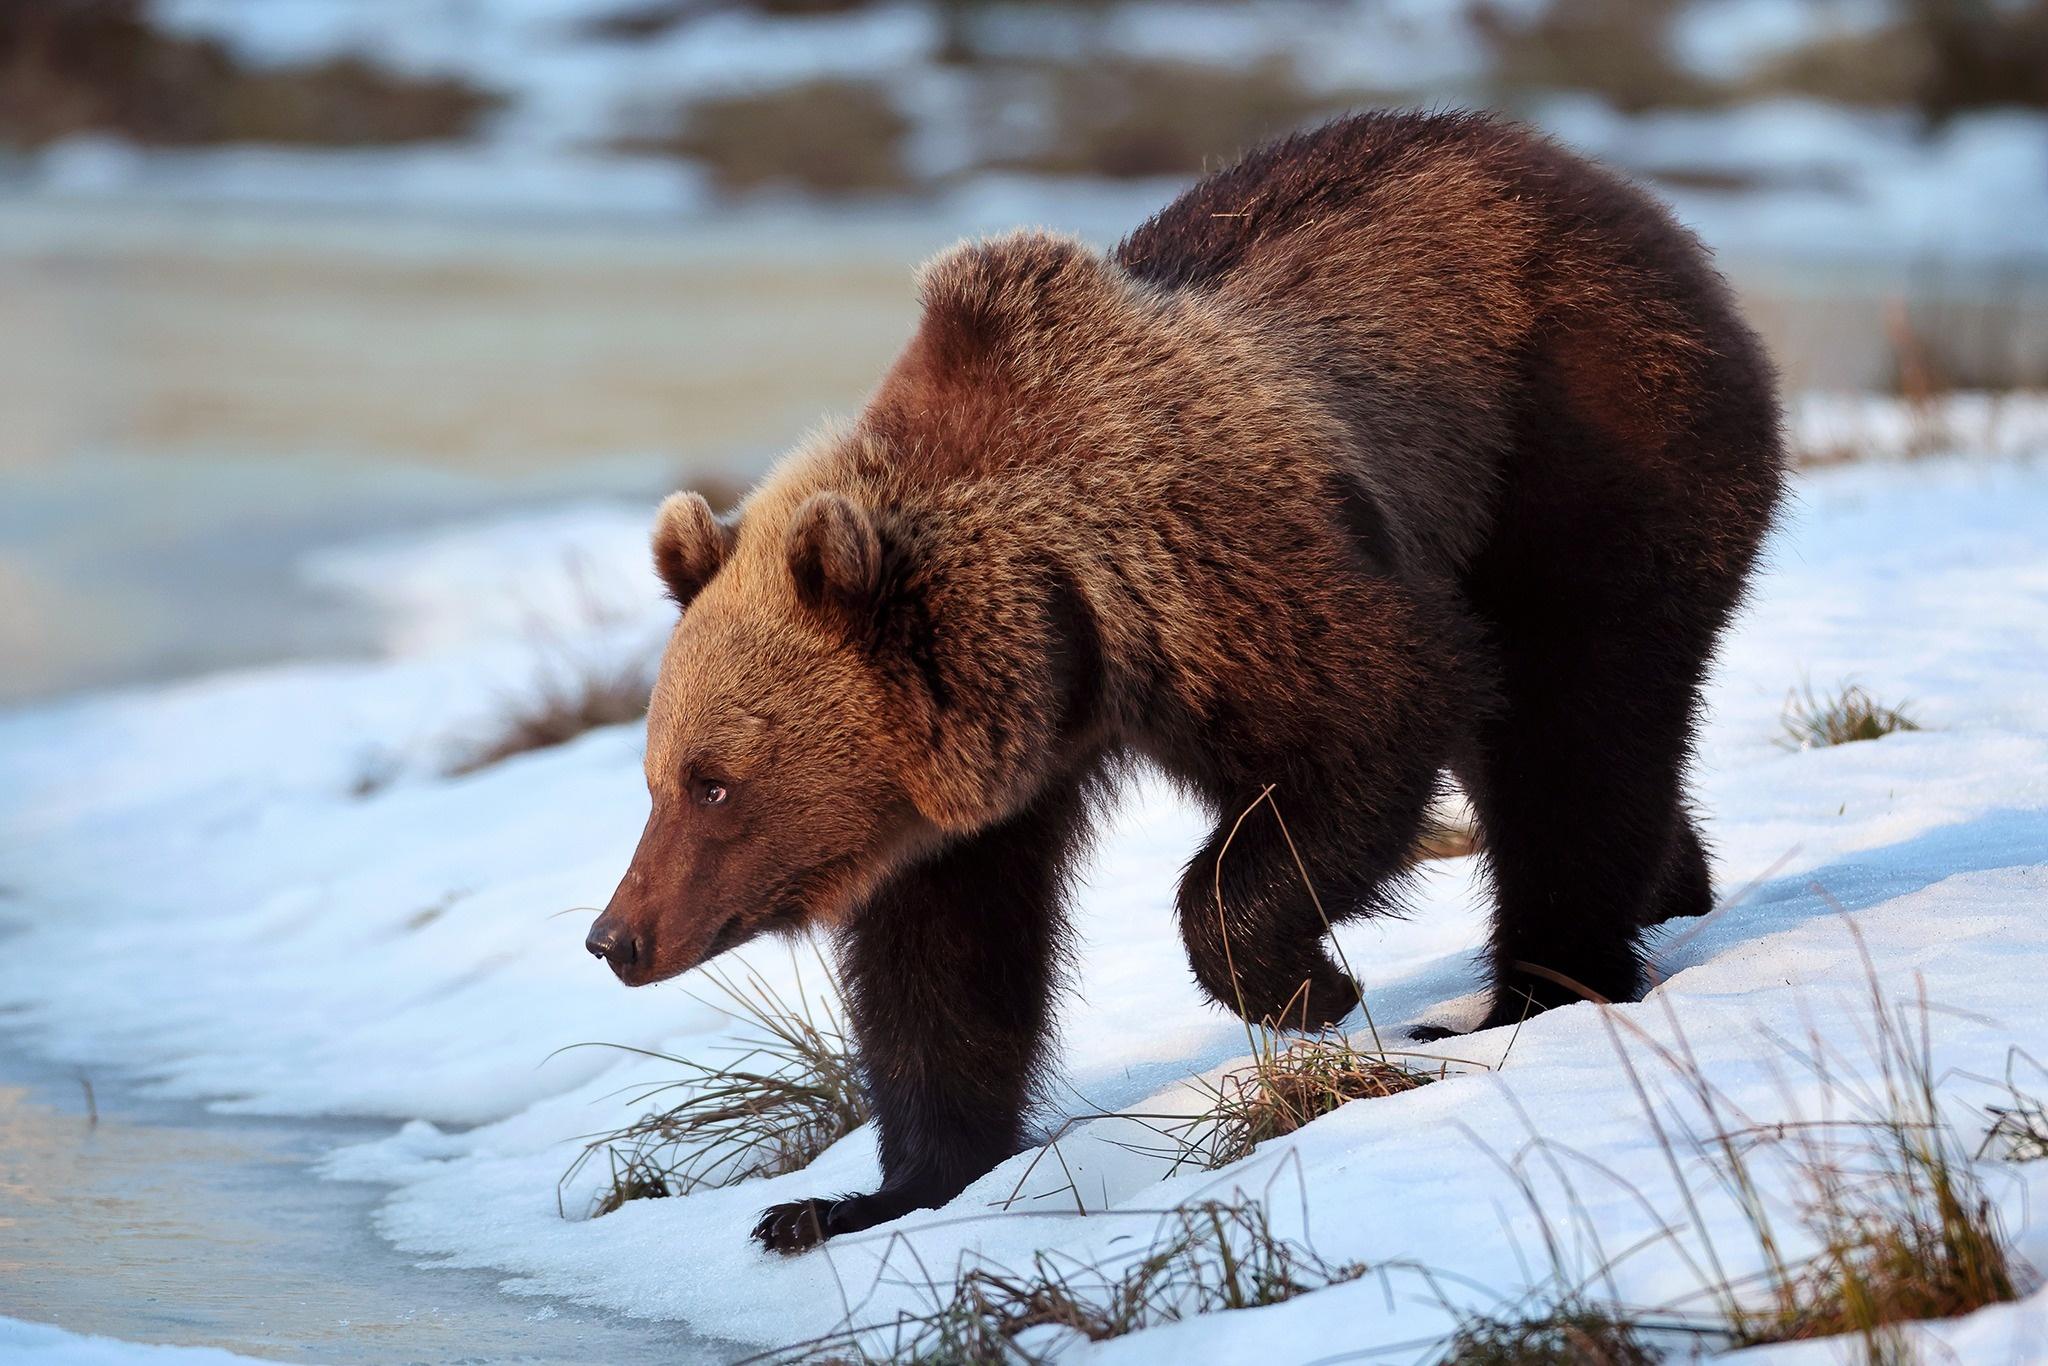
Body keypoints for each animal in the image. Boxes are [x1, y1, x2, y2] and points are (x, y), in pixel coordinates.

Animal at [583, 109, 1785, 1254]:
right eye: (656, 778)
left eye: (713, 782)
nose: (615, 937)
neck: (1063, 633)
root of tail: (1614, 190)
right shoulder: (978, 787)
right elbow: (943, 967)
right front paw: (854, 1200)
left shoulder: (1232, 574)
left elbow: (1366, 722)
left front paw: (1306, 984)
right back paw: (1671, 891)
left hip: (1580, 448)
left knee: (1573, 719)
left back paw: (1531, 988)